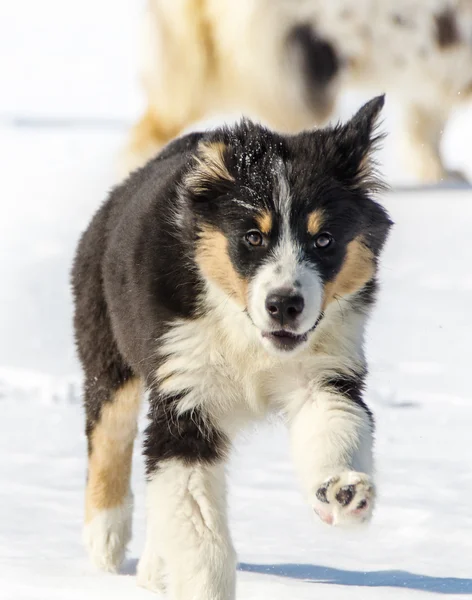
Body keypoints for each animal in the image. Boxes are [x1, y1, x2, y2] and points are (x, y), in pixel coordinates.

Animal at [73, 96, 390, 596]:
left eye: (324, 239)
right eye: (252, 236)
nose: (284, 306)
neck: (247, 338)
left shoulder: (324, 372)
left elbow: (335, 427)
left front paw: (343, 491)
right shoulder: (185, 398)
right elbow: (201, 533)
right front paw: (205, 589)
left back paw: (154, 568)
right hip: (106, 345)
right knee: (109, 433)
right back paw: (105, 540)